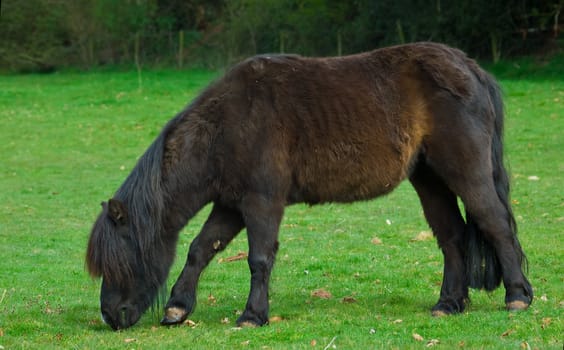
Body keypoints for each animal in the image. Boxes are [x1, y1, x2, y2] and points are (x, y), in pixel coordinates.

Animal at [86, 42, 532, 330]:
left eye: (119, 259)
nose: (110, 316)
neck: (226, 126)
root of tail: (470, 69)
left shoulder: (262, 202)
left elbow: (258, 258)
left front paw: (252, 316)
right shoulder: (231, 205)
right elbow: (201, 249)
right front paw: (178, 308)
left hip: (465, 173)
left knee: (495, 224)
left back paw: (518, 297)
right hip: (430, 180)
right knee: (453, 237)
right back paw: (448, 304)